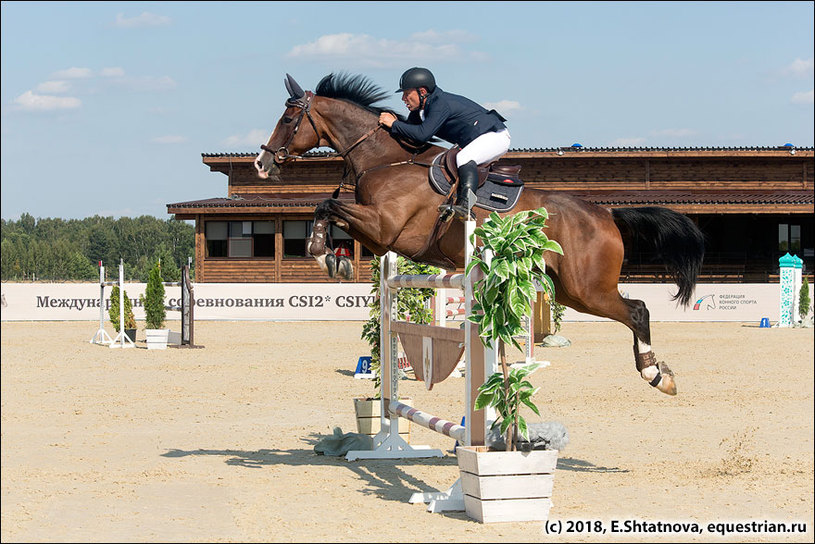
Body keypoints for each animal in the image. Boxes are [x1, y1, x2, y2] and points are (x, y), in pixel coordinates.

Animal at [256, 72, 708, 396]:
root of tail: (606, 213)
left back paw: (657, 374)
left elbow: (326, 205)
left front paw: (323, 254)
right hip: (568, 290)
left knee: (637, 311)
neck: (385, 160)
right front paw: (334, 259)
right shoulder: (380, 237)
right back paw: (658, 372)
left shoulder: (385, 229)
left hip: (588, 288)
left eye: (288, 119)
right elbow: (327, 209)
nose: (262, 163)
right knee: (630, 311)